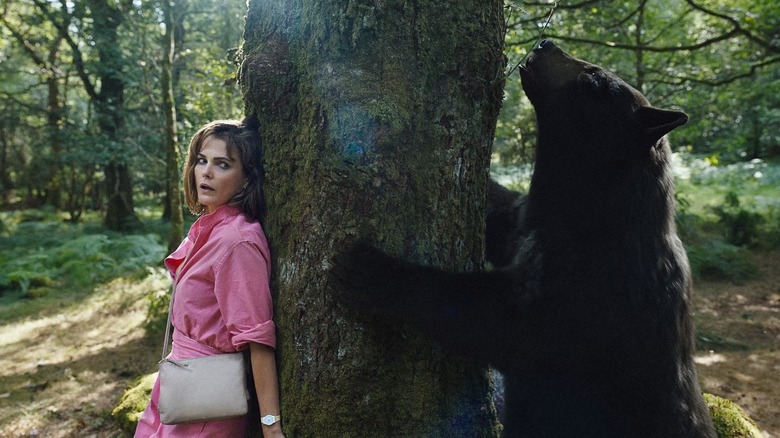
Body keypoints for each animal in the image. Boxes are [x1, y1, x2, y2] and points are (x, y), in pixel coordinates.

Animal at [328, 40, 716, 438]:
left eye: (593, 78)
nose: (546, 43)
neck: (590, 211)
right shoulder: (527, 222)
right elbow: (500, 215)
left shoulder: (599, 288)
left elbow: (512, 327)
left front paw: (373, 272)